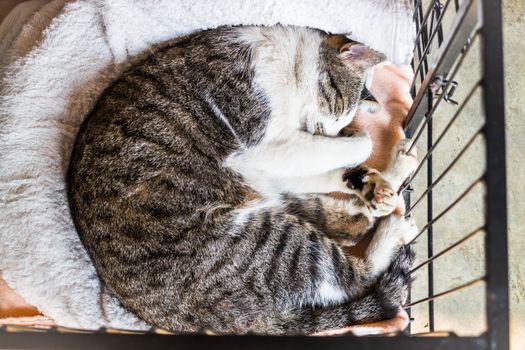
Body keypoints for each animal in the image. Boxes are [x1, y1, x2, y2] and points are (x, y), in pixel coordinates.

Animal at [66, 25, 418, 334]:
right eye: (338, 106)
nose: (333, 131)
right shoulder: (258, 150)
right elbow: (362, 144)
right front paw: (357, 147)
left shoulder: (271, 162)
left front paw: (366, 174)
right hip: (266, 240)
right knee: (356, 274)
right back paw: (394, 225)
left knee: (350, 224)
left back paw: (385, 183)